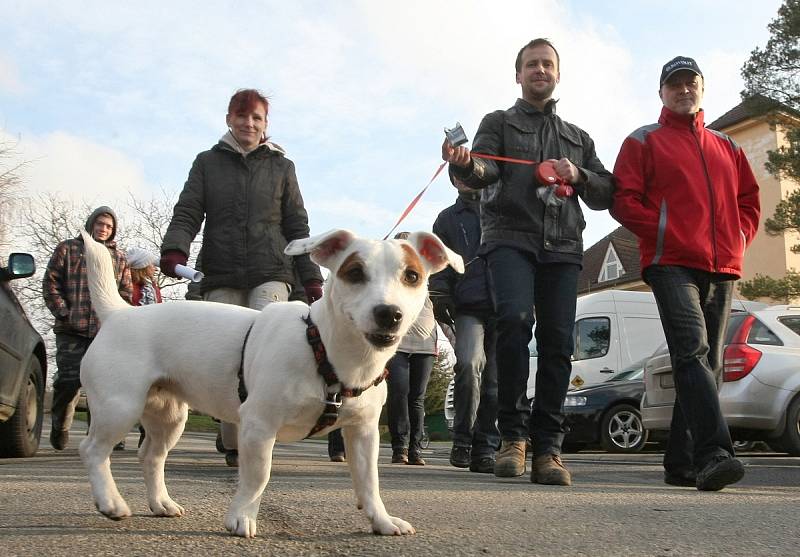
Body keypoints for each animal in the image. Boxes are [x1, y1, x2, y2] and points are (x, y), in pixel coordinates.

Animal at [78, 227, 466, 540]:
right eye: (355, 273)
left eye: (412, 276)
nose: (389, 313)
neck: (325, 350)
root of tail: (119, 314)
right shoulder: (259, 426)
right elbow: (257, 476)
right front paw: (241, 518)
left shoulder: (364, 432)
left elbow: (369, 482)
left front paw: (381, 521)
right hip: (120, 406)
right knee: (93, 450)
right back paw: (111, 502)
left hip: (169, 416)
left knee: (151, 456)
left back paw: (161, 503)